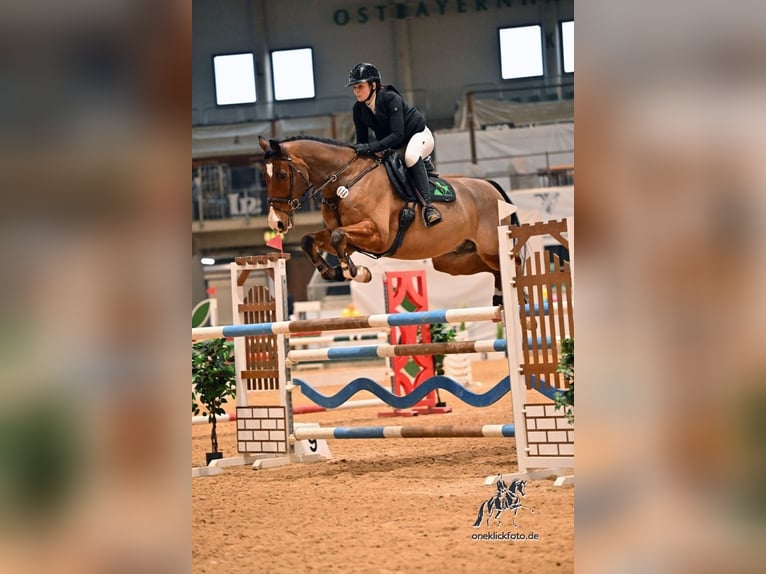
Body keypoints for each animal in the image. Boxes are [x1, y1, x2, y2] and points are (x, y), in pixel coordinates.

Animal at [258, 136, 517, 296]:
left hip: (491, 249)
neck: (345, 181)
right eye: (264, 177)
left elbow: (338, 236)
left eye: (281, 175)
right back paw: (499, 296)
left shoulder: (378, 236)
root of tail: (491, 186)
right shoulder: (350, 240)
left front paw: (355, 272)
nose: (276, 222)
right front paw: (332, 271)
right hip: (452, 259)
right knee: (492, 270)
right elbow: (310, 240)